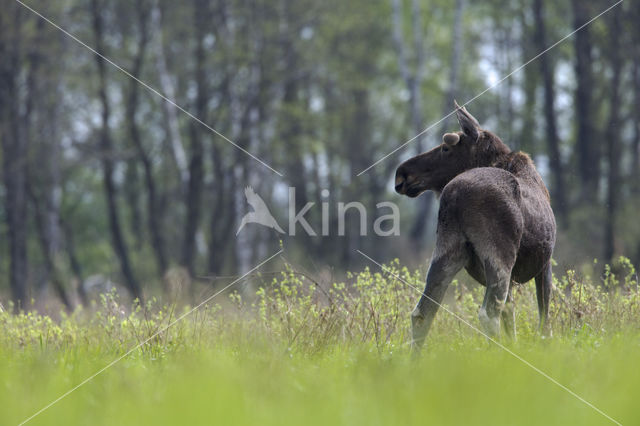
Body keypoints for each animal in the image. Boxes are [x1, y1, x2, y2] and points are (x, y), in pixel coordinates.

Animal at [396, 101, 556, 348]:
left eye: (445, 148)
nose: (401, 174)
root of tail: (454, 195)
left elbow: (512, 317)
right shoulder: (545, 262)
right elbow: (544, 321)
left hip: (446, 250)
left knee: (422, 312)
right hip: (499, 254)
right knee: (489, 314)